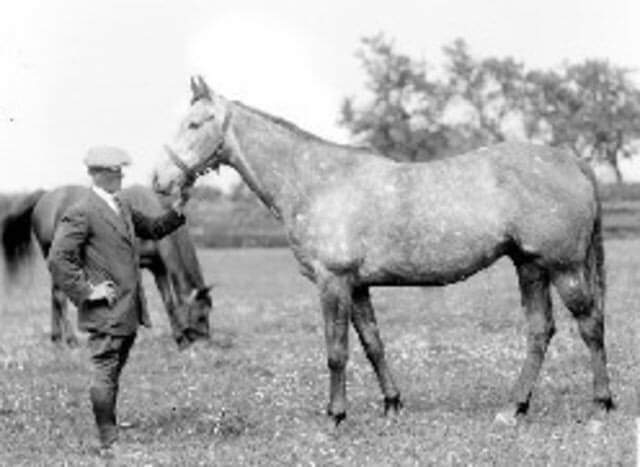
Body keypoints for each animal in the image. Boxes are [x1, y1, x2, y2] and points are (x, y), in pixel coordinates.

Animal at [1, 185, 212, 350]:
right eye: (201, 315)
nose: (205, 341)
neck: (150, 206)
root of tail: (45, 196)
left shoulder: (158, 267)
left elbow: (169, 302)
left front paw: (180, 340)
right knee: (60, 297)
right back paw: (71, 340)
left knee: (55, 295)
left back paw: (57, 340)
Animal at [151, 76, 616, 424]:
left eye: (195, 124)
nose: (159, 181)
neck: (316, 181)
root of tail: (572, 161)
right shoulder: (357, 286)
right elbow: (373, 344)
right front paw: (392, 405)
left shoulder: (333, 282)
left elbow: (336, 351)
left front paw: (335, 416)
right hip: (530, 266)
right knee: (540, 331)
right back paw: (513, 408)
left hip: (564, 268)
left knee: (590, 325)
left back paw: (600, 406)